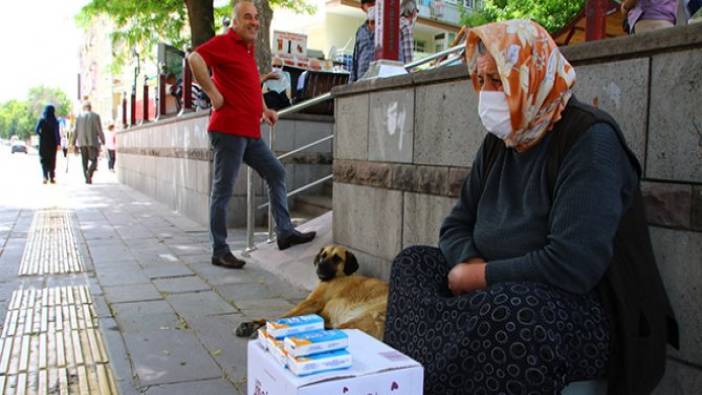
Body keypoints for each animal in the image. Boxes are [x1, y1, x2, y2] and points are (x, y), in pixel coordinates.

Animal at [236, 244, 390, 340]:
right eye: (323, 255)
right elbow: (280, 317)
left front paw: (261, 327)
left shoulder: (312, 302)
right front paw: (254, 323)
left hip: (360, 319)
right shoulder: (319, 312)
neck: (340, 276)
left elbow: (282, 317)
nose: (320, 266)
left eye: (337, 258)